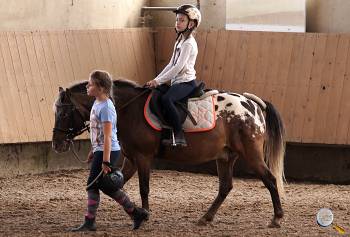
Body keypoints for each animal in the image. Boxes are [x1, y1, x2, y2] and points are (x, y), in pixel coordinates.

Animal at [52, 79, 288, 228]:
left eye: (63, 113)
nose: (57, 144)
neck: (128, 109)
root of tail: (253, 104)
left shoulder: (143, 157)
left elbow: (144, 188)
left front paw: (145, 214)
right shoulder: (131, 159)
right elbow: (114, 184)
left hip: (251, 154)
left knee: (269, 179)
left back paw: (277, 218)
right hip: (226, 156)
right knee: (225, 187)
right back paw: (206, 217)